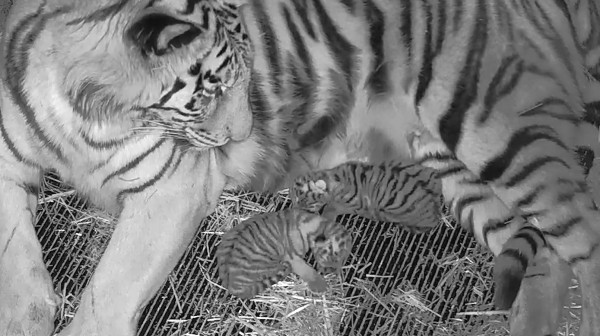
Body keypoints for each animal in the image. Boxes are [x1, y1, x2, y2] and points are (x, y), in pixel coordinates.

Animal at [3, 1, 600, 336]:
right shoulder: (8, 168)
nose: (241, 133)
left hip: (493, 133)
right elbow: (18, 270)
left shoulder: (173, 187)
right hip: (454, 165)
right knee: (545, 254)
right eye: (216, 86)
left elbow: (107, 292)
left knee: (583, 239)